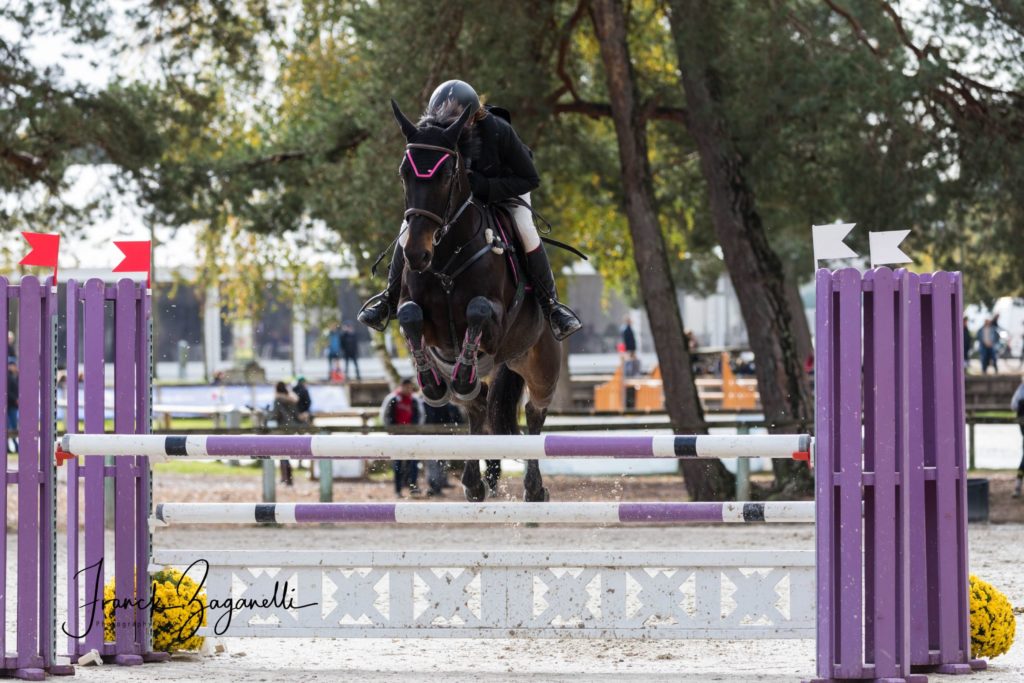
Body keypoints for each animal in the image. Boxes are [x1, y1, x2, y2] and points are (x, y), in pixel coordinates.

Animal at [387, 97, 561, 501]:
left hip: (540, 365)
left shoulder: (496, 325)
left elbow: (478, 310)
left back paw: (534, 488)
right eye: (404, 174)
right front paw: (431, 383)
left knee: (533, 415)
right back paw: (473, 481)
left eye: (447, 175)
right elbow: (409, 315)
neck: (447, 255)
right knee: (477, 406)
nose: (416, 254)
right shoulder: (425, 322)